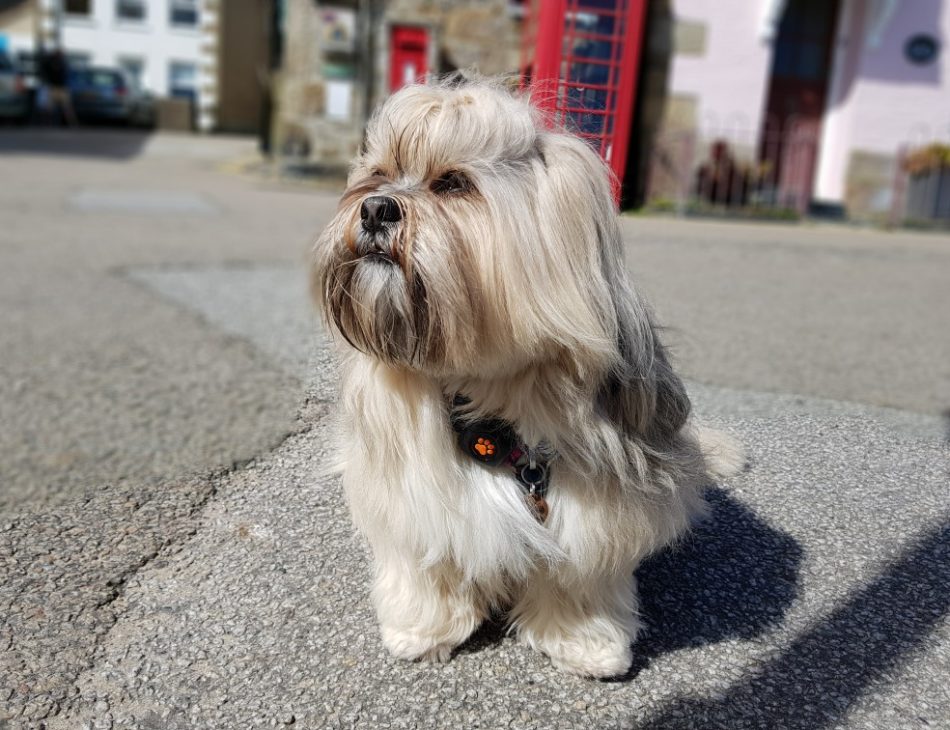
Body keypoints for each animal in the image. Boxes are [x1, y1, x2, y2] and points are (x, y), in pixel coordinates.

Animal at [312, 77, 744, 672]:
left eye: (453, 184)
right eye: (377, 176)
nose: (375, 208)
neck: (493, 395)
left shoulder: (597, 505)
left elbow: (580, 573)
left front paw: (585, 639)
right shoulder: (415, 490)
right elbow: (428, 556)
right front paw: (423, 628)